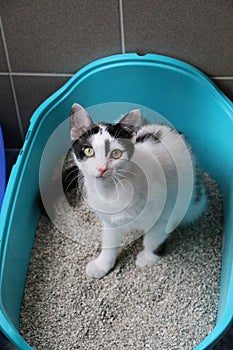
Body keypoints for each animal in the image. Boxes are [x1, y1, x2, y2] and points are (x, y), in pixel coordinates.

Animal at [68, 102, 206, 278]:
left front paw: (147, 257)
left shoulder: (165, 212)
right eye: (88, 150)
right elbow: (109, 242)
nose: (101, 169)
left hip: (192, 204)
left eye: (116, 153)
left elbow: (153, 237)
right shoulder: (110, 221)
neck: (112, 190)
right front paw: (102, 265)